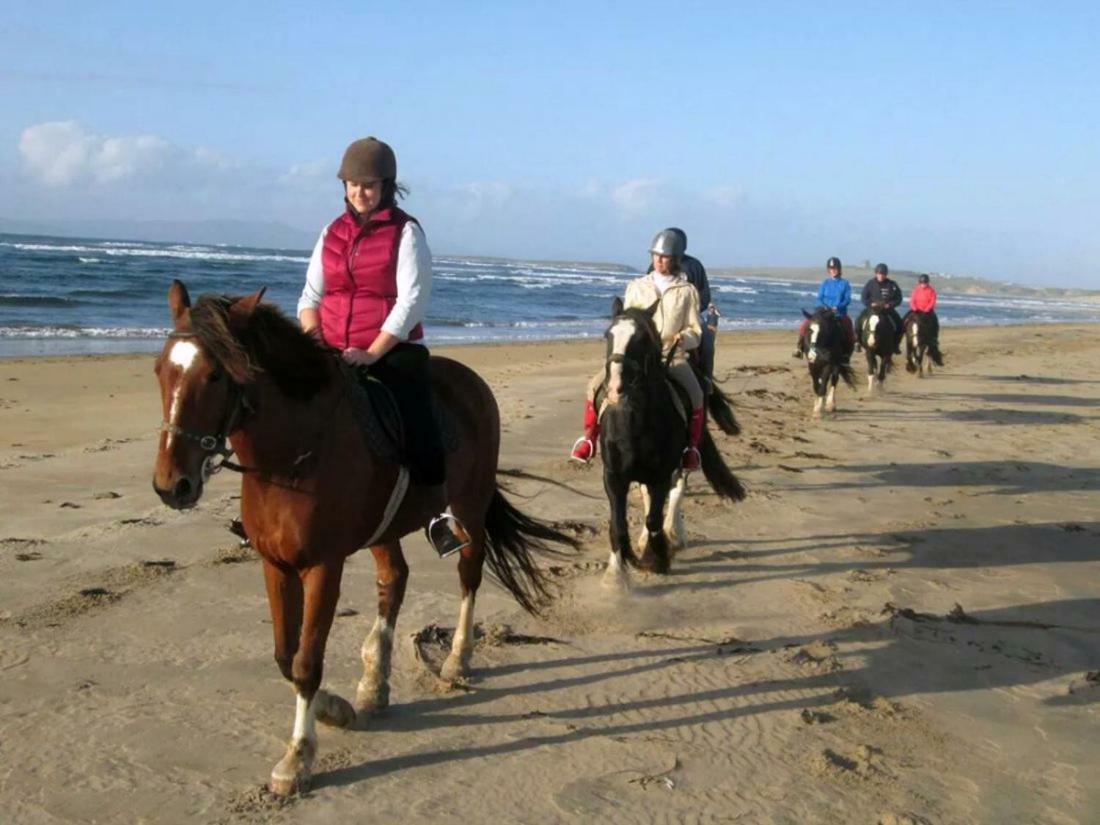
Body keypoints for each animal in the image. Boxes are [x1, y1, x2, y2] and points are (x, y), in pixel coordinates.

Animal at [151, 283, 580, 796]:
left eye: (215, 375)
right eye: (160, 369)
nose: (171, 486)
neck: (290, 458)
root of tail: (472, 381)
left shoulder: (323, 567)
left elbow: (306, 661)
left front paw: (298, 757)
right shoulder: (274, 565)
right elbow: (285, 655)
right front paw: (335, 708)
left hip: (470, 511)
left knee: (468, 578)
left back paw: (457, 661)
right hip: (385, 529)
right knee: (394, 579)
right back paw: (375, 682)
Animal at [598, 297, 743, 589]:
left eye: (641, 339)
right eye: (609, 335)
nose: (616, 388)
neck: (634, 420)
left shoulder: (660, 475)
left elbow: (654, 517)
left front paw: (656, 559)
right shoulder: (614, 476)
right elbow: (618, 524)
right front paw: (616, 574)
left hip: (684, 459)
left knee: (678, 490)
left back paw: (675, 533)